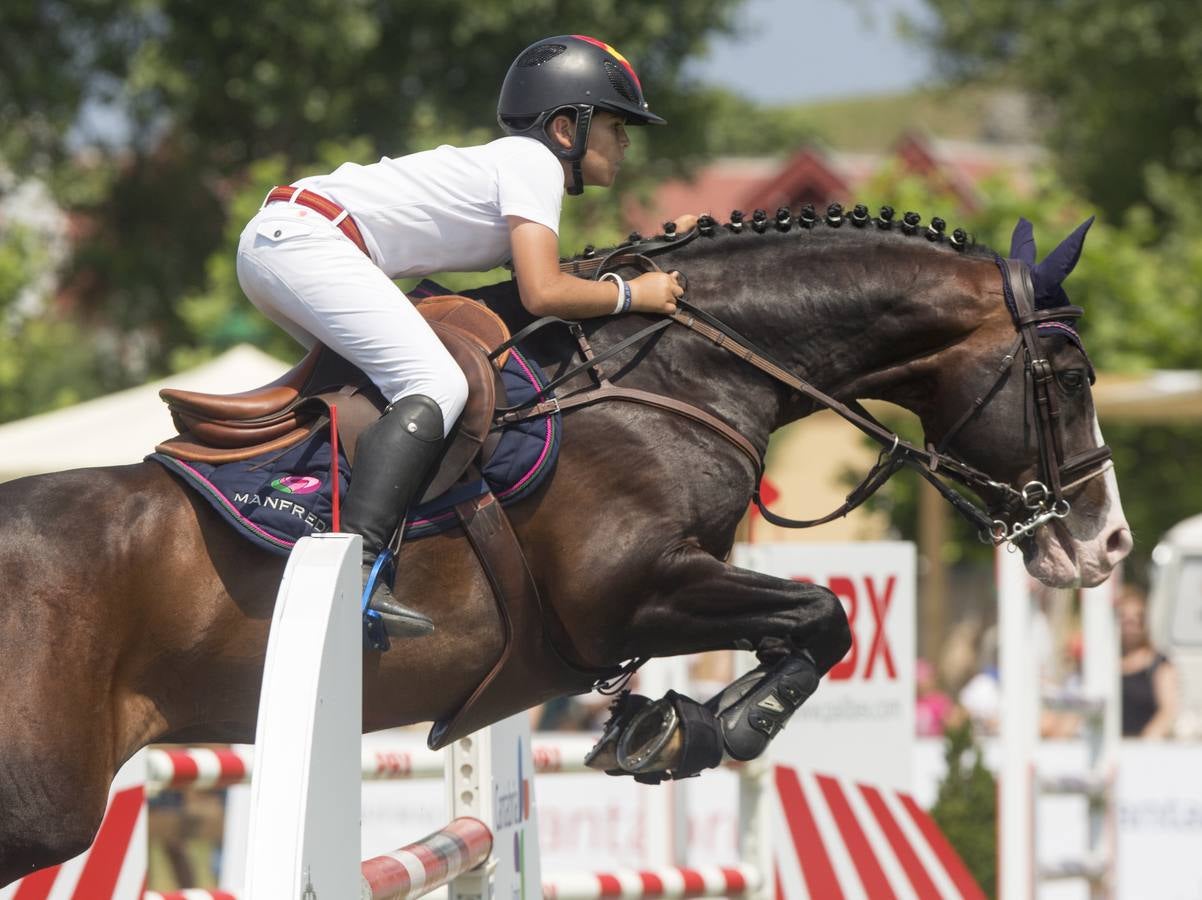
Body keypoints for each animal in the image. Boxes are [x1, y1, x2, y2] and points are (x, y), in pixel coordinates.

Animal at [0, 201, 1125, 879]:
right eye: (1070, 378)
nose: (1106, 544)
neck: (682, 372)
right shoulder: (625, 594)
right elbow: (823, 612)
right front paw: (711, 727)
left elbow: (805, 624)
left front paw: (664, 724)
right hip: (45, 802)